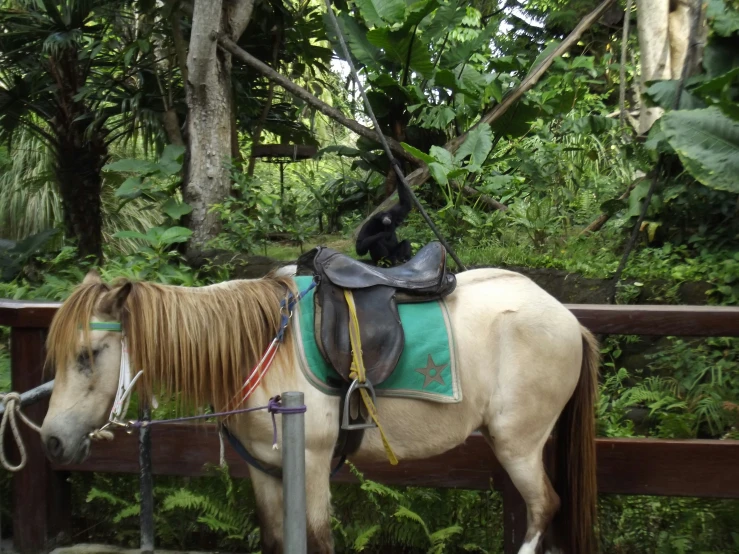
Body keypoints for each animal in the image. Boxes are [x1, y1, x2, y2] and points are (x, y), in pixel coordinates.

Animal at [39, 260, 600, 548]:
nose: (51, 441)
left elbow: (317, 539)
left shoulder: (309, 463)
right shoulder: (265, 468)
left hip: (517, 444)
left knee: (542, 508)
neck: (258, 345)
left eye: (88, 354)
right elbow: (275, 539)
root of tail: (568, 319)